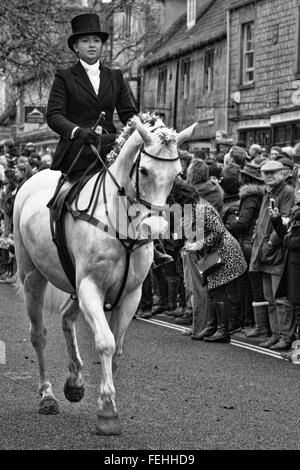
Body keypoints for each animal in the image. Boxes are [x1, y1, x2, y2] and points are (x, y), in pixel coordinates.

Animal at [13, 115, 197, 436]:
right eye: (144, 170)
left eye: (178, 174)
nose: (157, 229)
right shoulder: (91, 287)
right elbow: (106, 342)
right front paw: (108, 412)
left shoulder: (131, 294)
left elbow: (117, 348)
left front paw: (103, 400)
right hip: (32, 276)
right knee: (38, 335)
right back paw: (47, 396)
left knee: (66, 318)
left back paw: (74, 382)